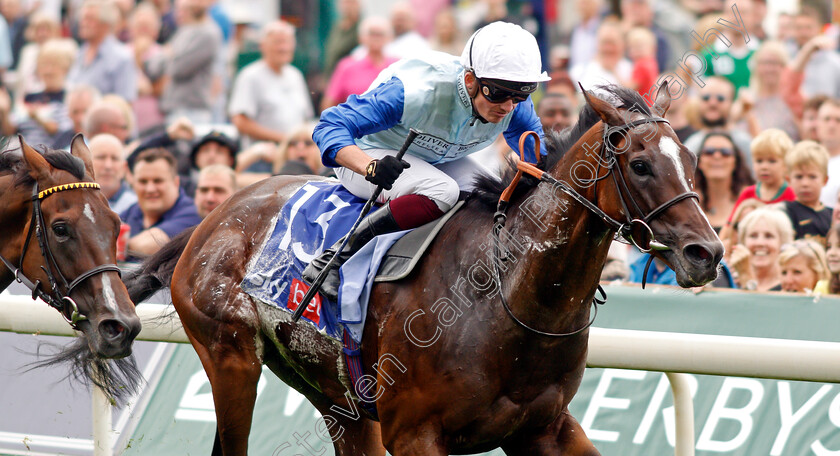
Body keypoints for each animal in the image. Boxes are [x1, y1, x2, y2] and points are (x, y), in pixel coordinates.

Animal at [124, 83, 720, 454]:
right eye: (640, 165)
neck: (508, 297)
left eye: (691, 160)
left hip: (332, 392)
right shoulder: (415, 434)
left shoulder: (544, 429)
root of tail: (216, 216)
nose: (706, 253)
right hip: (230, 357)